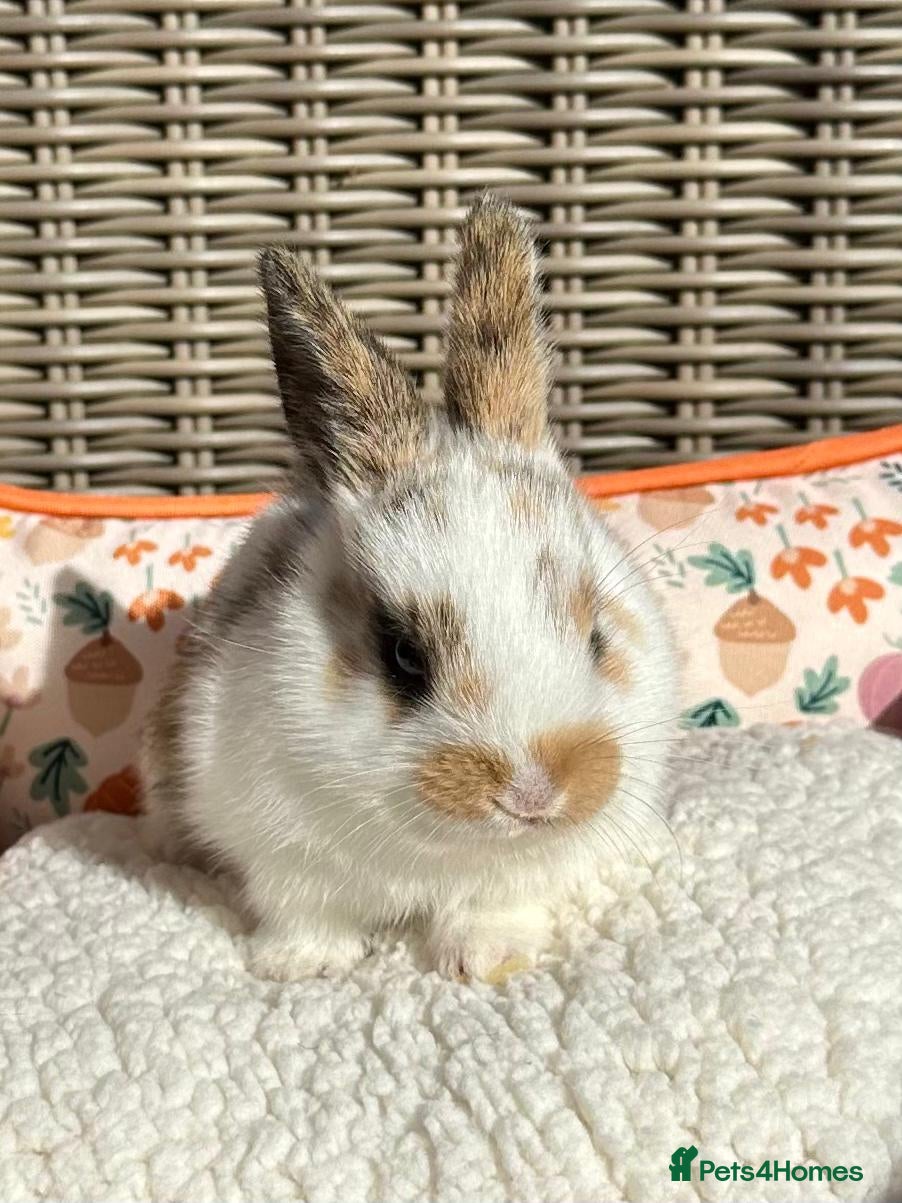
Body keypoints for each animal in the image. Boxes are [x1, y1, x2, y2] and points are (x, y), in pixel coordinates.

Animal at [140, 195, 678, 983]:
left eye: (597, 636)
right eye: (402, 657)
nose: (533, 795)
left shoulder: (516, 872)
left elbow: (496, 902)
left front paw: (489, 960)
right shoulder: (280, 852)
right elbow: (305, 913)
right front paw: (301, 964)